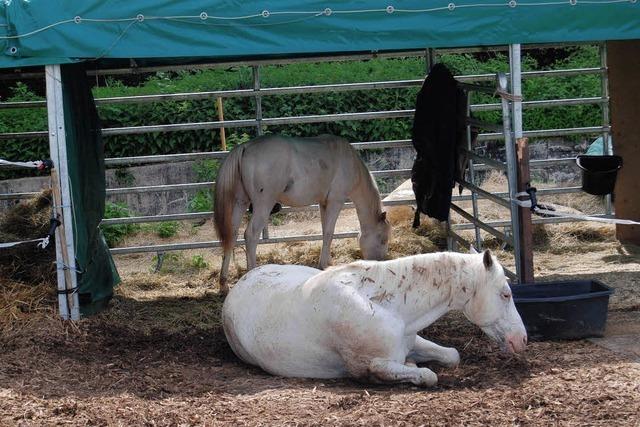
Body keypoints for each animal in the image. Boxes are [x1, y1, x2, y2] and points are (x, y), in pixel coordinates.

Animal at [222, 251, 528, 388]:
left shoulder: (411, 338)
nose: (521, 340)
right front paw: (414, 369)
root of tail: (239, 284)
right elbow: (426, 375)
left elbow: (452, 354)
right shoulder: (371, 364)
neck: (382, 304)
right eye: (505, 294)